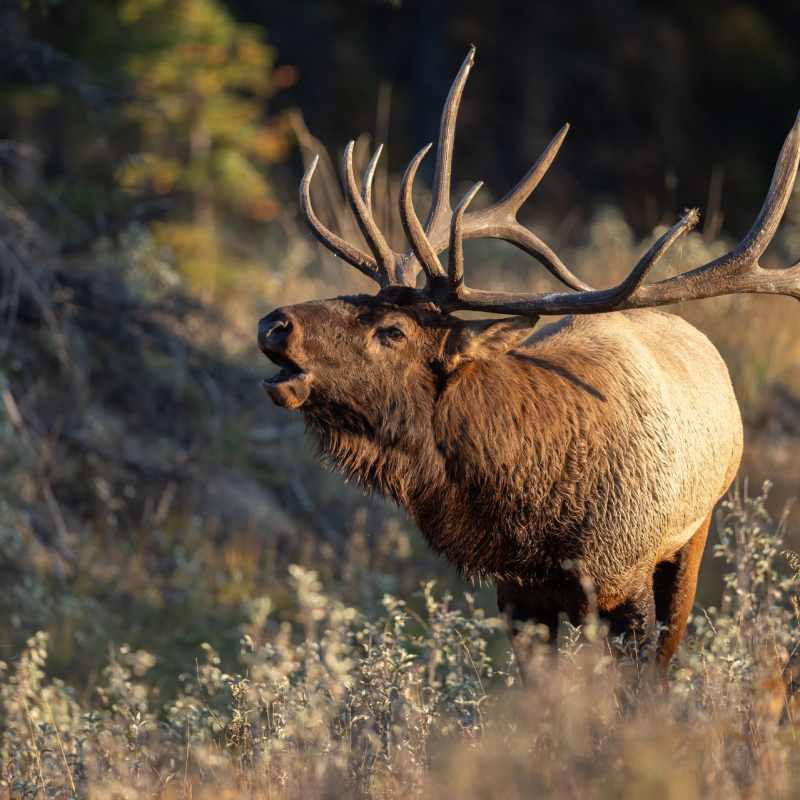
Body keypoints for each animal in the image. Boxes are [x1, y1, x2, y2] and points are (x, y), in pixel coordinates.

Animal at [258, 47, 800, 677]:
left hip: (695, 532)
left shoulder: (627, 575)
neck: (533, 513)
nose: (275, 323)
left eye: (393, 331)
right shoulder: (518, 592)